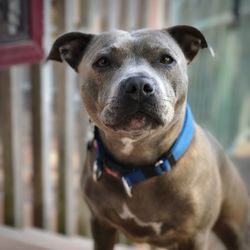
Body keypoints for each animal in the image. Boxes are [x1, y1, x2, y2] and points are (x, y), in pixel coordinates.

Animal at [47, 25, 249, 250]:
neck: (137, 162)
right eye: (103, 61)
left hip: (236, 230)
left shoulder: (194, 236)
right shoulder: (101, 225)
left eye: (166, 59)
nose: (138, 84)